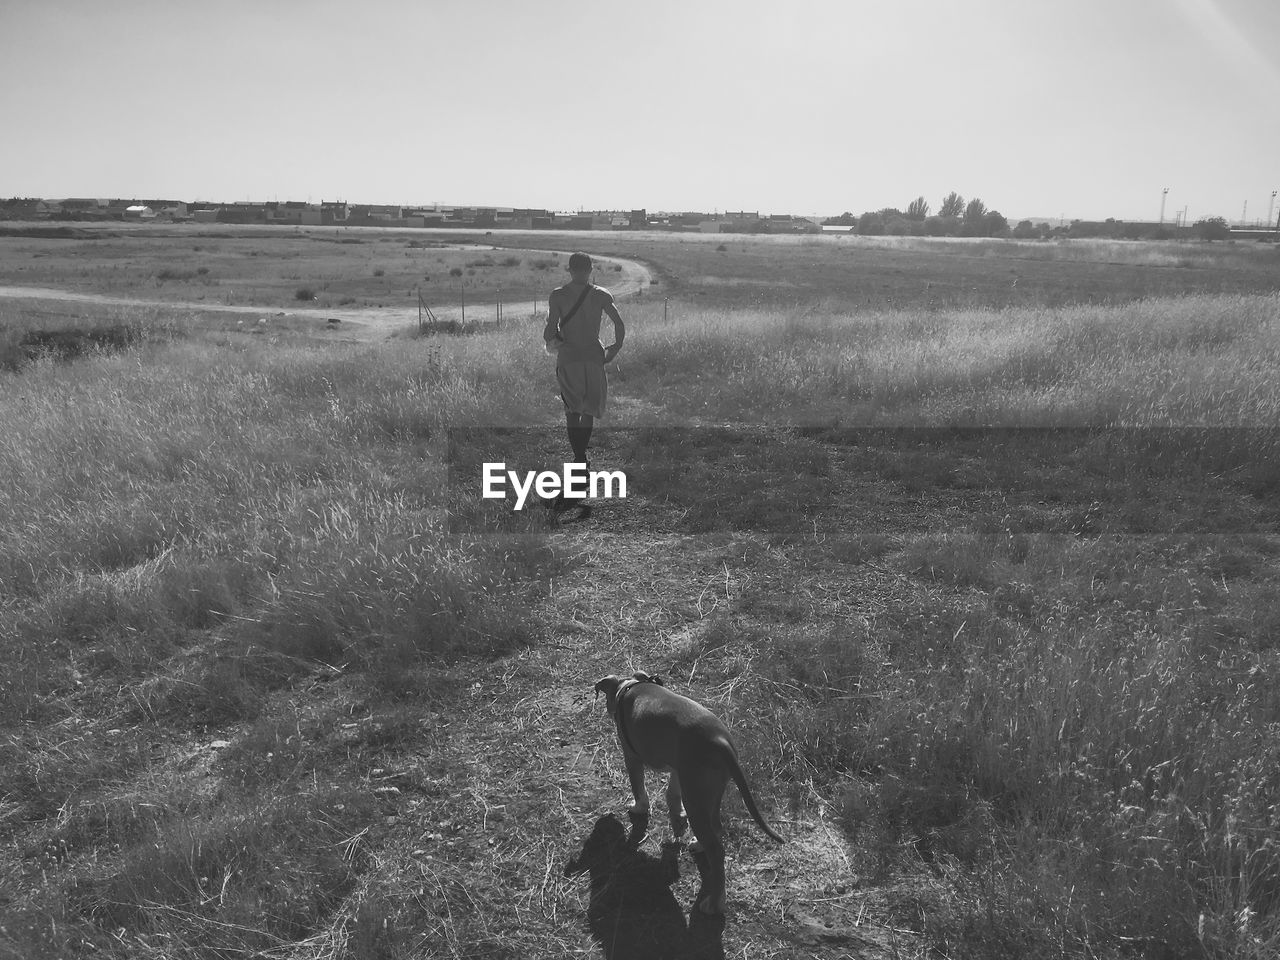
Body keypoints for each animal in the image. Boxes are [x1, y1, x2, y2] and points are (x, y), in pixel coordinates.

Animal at [593, 670, 783, 911]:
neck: (629, 687)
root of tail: (720, 741)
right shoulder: (678, 770)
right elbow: (672, 795)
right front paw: (678, 821)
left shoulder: (632, 758)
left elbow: (639, 788)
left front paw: (639, 808)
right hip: (708, 793)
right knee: (715, 829)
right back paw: (698, 845)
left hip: (696, 797)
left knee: (717, 851)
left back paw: (714, 903)